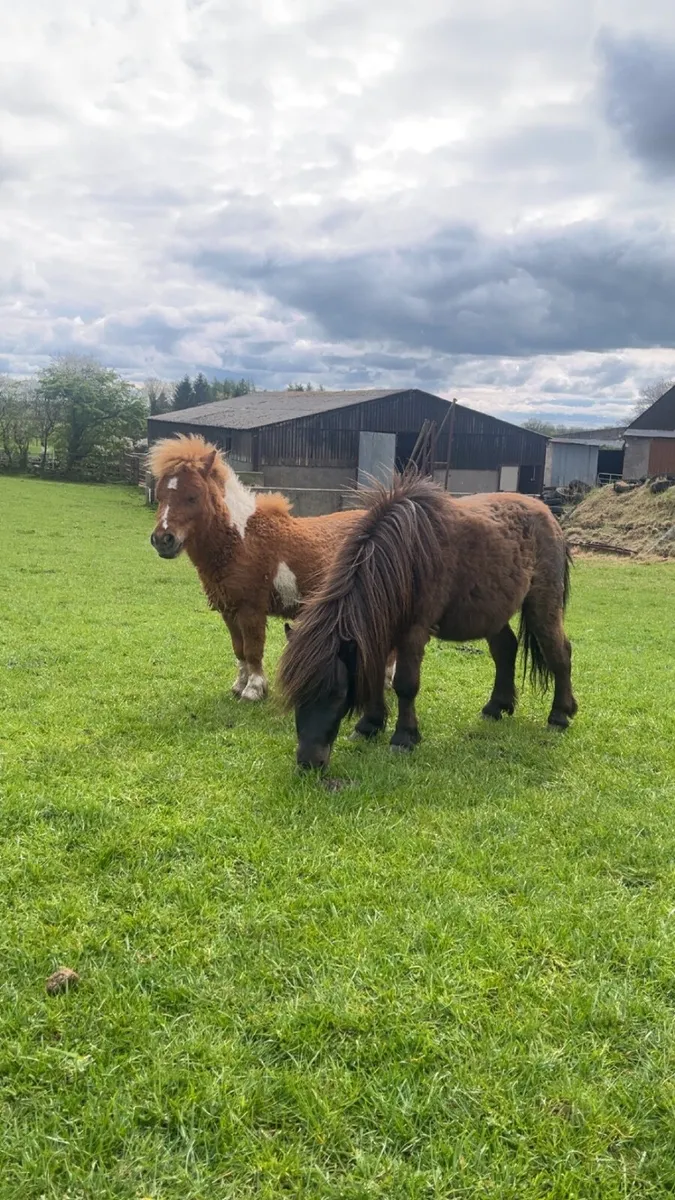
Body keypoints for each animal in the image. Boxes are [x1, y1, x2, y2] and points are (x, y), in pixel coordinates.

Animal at [148, 434, 395, 700]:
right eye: (160, 496)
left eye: (192, 496)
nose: (163, 540)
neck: (240, 540)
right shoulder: (229, 609)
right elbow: (239, 649)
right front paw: (239, 685)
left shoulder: (251, 609)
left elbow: (253, 649)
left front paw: (254, 689)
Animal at [279, 471, 577, 769]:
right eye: (296, 695)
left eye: (338, 694)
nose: (308, 762)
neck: (406, 557)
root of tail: (548, 514)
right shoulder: (380, 630)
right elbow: (375, 677)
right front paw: (369, 726)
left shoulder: (413, 633)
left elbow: (405, 685)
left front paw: (404, 737)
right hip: (492, 612)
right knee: (505, 650)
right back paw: (495, 708)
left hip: (543, 603)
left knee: (559, 652)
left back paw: (559, 715)